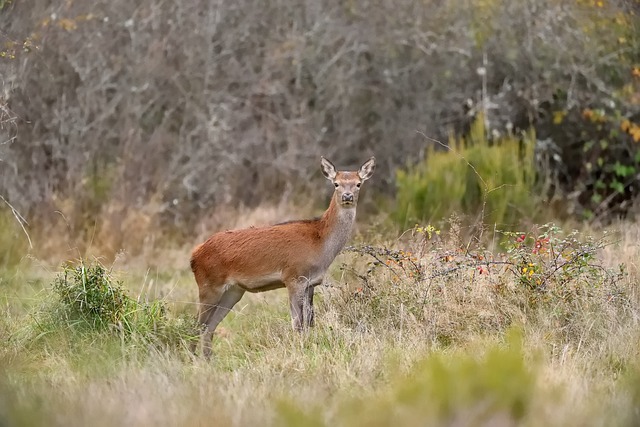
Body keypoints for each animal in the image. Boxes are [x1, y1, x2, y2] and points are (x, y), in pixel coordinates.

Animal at [190, 156, 376, 358]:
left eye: (358, 183)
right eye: (336, 184)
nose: (347, 197)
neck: (320, 244)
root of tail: (194, 255)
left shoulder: (311, 282)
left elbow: (310, 322)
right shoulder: (293, 277)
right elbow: (297, 323)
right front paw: (301, 350)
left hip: (233, 291)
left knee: (209, 327)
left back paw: (207, 359)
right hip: (209, 285)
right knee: (196, 324)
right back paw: (192, 358)